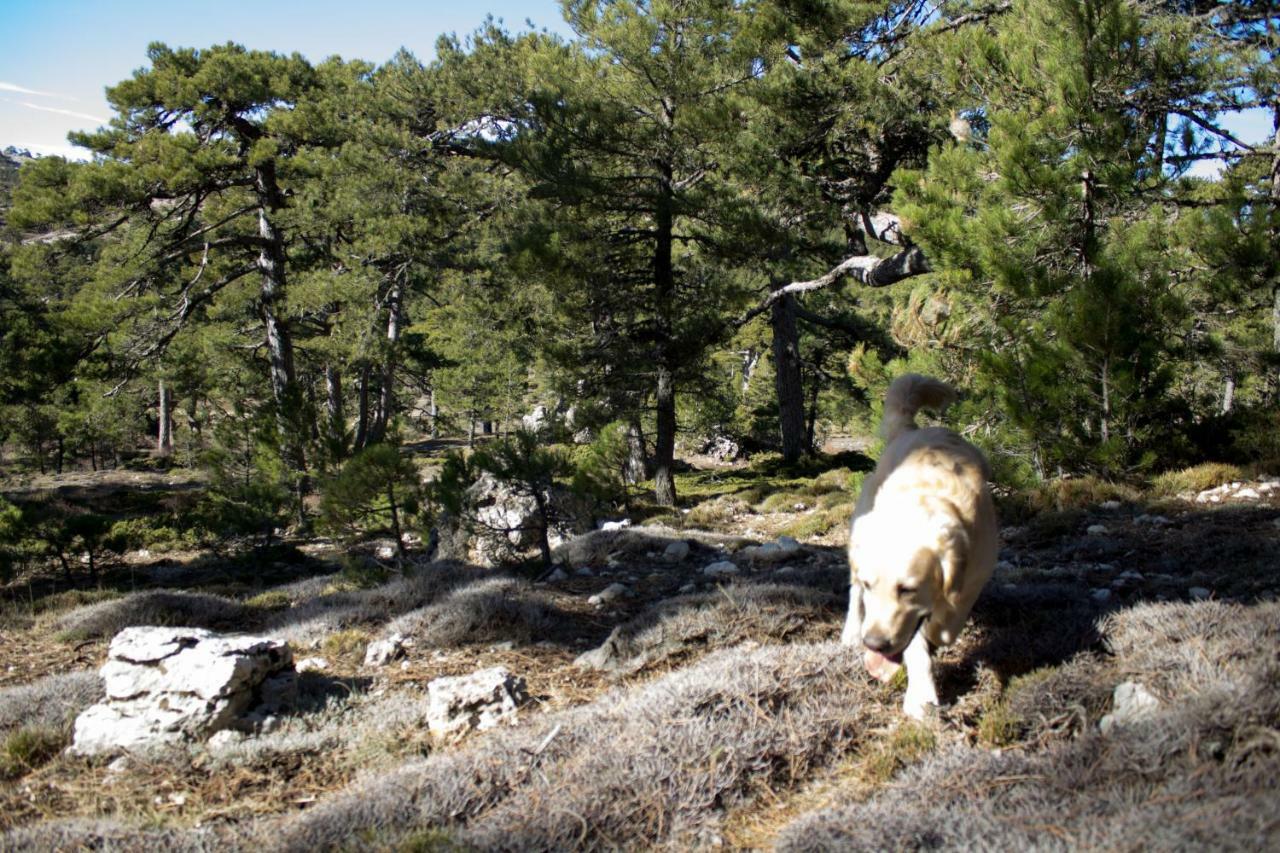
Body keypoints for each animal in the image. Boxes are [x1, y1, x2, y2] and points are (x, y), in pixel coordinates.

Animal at [839, 371, 998, 717]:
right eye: (872, 586)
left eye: (907, 589)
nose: (874, 644)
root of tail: (912, 431)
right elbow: (916, 646)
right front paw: (921, 695)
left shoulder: (978, 570)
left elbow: (949, 620)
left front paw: (940, 633)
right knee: (852, 591)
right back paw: (851, 632)